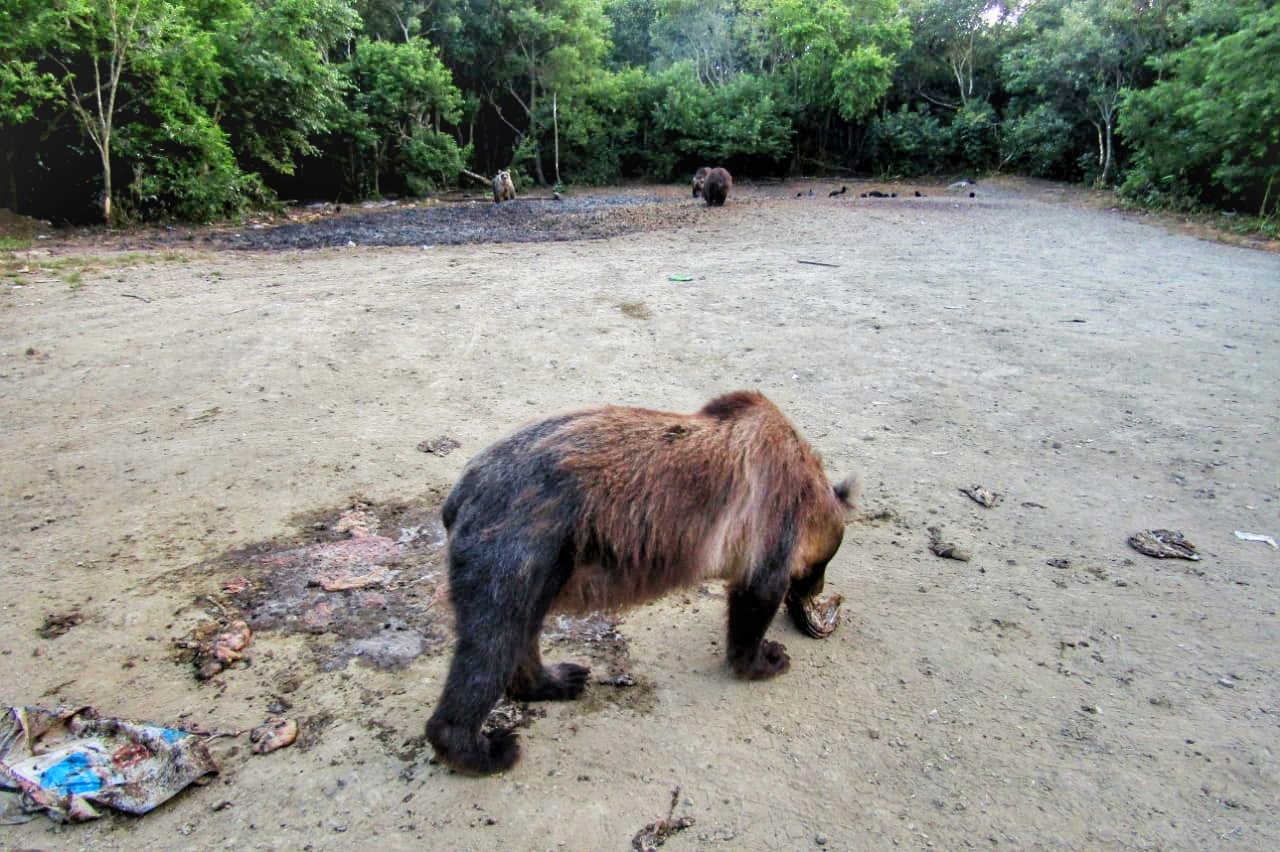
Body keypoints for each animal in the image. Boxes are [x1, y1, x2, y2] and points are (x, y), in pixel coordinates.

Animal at [424, 388, 855, 772]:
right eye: (820, 568)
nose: (816, 592)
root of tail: (458, 494)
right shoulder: (772, 512)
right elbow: (756, 595)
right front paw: (768, 657)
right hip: (519, 542)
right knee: (490, 643)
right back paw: (483, 749)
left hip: (543, 565)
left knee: (521, 632)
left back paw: (558, 679)